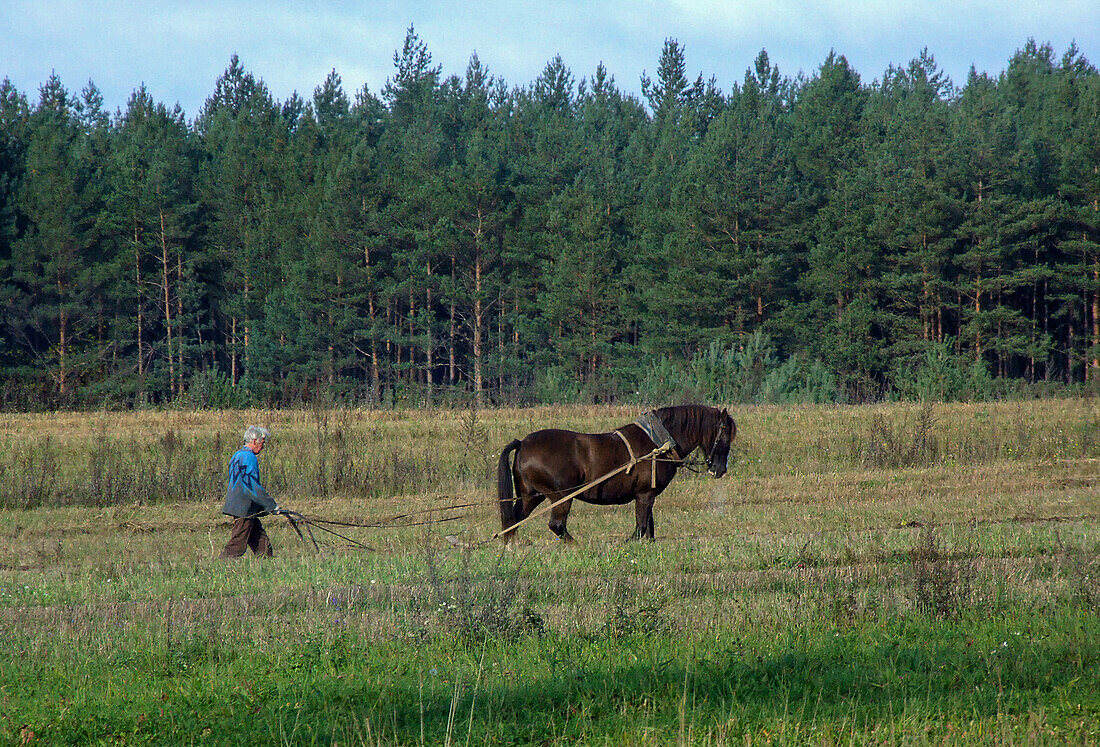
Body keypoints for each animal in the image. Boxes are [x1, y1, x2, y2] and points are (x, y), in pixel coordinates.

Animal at [501, 402, 739, 543]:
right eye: (725, 437)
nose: (720, 470)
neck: (657, 442)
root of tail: (523, 443)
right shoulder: (645, 494)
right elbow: (641, 526)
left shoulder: (647, 495)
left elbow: (648, 527)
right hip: (560, 497)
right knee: (556, 525)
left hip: (531, 495)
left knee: (514, 521)